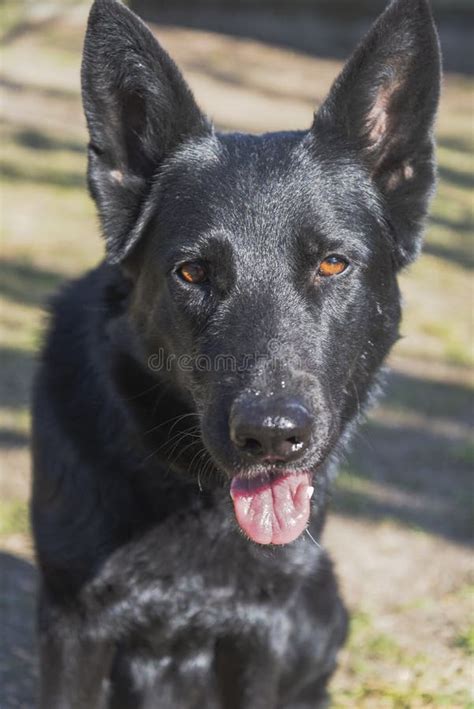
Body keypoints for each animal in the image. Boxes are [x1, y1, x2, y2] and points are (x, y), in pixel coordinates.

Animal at [32, 1, 440, 704]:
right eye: (193, 273)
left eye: (333, 264)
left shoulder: (261, 635)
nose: (271, 436)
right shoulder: (72, 627)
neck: (193, 494)